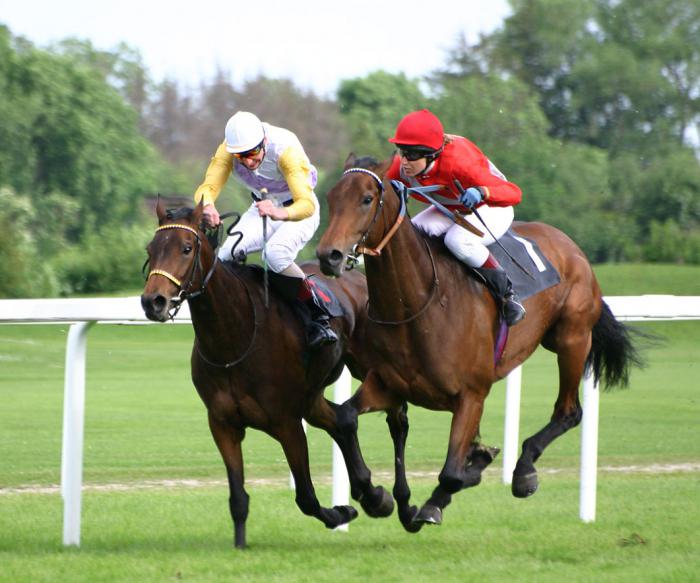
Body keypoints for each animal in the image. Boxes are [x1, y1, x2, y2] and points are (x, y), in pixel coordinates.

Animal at [141, 200, 394, 548]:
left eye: (186, 248)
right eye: (151, 249)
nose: (153, 301)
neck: (234, 339)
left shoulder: (287, 423)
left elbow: (306, 497)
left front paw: (341, 513)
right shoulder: (223, 424)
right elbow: (238, 498)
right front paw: (240, 545)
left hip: (374, 368)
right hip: (311, 397)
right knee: (343, 420)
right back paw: (373, 495)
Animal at [316, 156, 640, 532]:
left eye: (367, 199)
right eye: (331, 197)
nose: (328, 256)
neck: (418, 306)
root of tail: (571, 246)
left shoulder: (471, 395)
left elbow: (452, 473)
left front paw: (436, 500)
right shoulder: (389, 385)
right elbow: (346, 418)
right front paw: (374, 495)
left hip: (571, 338)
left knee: (569, 411)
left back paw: (524, 471)